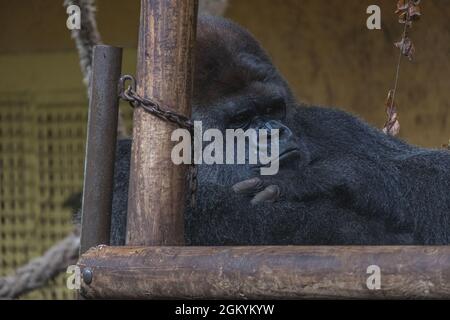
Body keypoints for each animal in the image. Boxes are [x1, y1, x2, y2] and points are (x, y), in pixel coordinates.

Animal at [104, 14, 450, 245]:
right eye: (241, 119)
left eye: (273, 109)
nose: (274, 132)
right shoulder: (126, 171)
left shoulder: (330, 123)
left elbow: (435, 172)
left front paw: (325, 176)